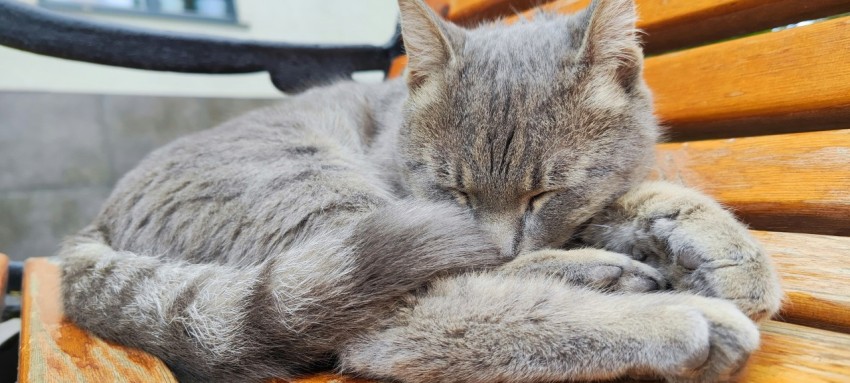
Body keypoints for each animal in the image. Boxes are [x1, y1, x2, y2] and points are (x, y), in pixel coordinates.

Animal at [56, 0, 780, 382]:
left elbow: (645, 195)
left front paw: (726, 252)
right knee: (419, 320)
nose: (495, 237)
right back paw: (654, 305)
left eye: (544, 193)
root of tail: (93, 223)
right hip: (320, 197)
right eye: (451, 189)